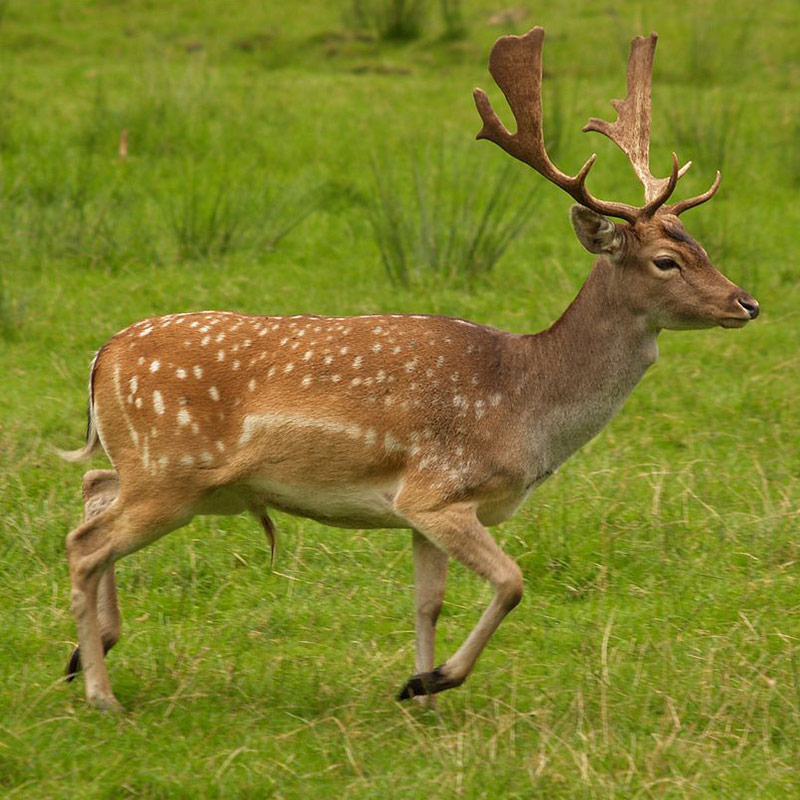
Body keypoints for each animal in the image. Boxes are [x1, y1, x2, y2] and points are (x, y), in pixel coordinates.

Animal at [60, 27, 759, 711]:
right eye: (667, 260)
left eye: (703, 246)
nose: (746, 302)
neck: (525, 405)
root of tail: (101, 356)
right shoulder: (438, 489)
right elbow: (512, 582)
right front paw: (434, 680)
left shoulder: (421, 511)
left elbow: (429, 602)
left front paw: (419, 695)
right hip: (170, 472)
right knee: (85, 544)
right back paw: (100, 693)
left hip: (165, 473)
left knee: (94, 488)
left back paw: (84, 653)